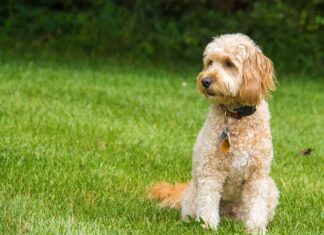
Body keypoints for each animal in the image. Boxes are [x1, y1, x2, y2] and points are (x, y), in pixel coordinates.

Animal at [149, 33, 278, 235]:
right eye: (209, 62)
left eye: (229, 63)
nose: (205, 81)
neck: (235, 116)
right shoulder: (211, 171)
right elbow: (208, 201)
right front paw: (208, 226)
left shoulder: (257, 175)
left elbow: (257, 206)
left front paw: (256, 228)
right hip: (192, 198)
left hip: (271, 188)